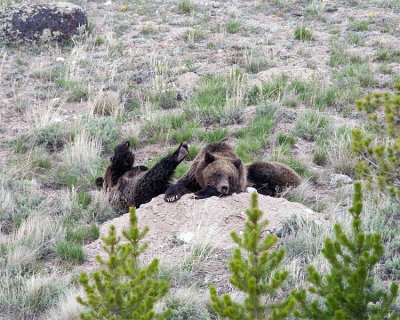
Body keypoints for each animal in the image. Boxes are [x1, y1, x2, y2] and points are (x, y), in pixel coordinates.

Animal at [163, 141, 300, 202]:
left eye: (229, 176)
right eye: (216, 174)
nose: (224, 187)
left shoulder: (240, 181)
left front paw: (199, 193)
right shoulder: (194, 177)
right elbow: (181, 184)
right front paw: (171, 196)